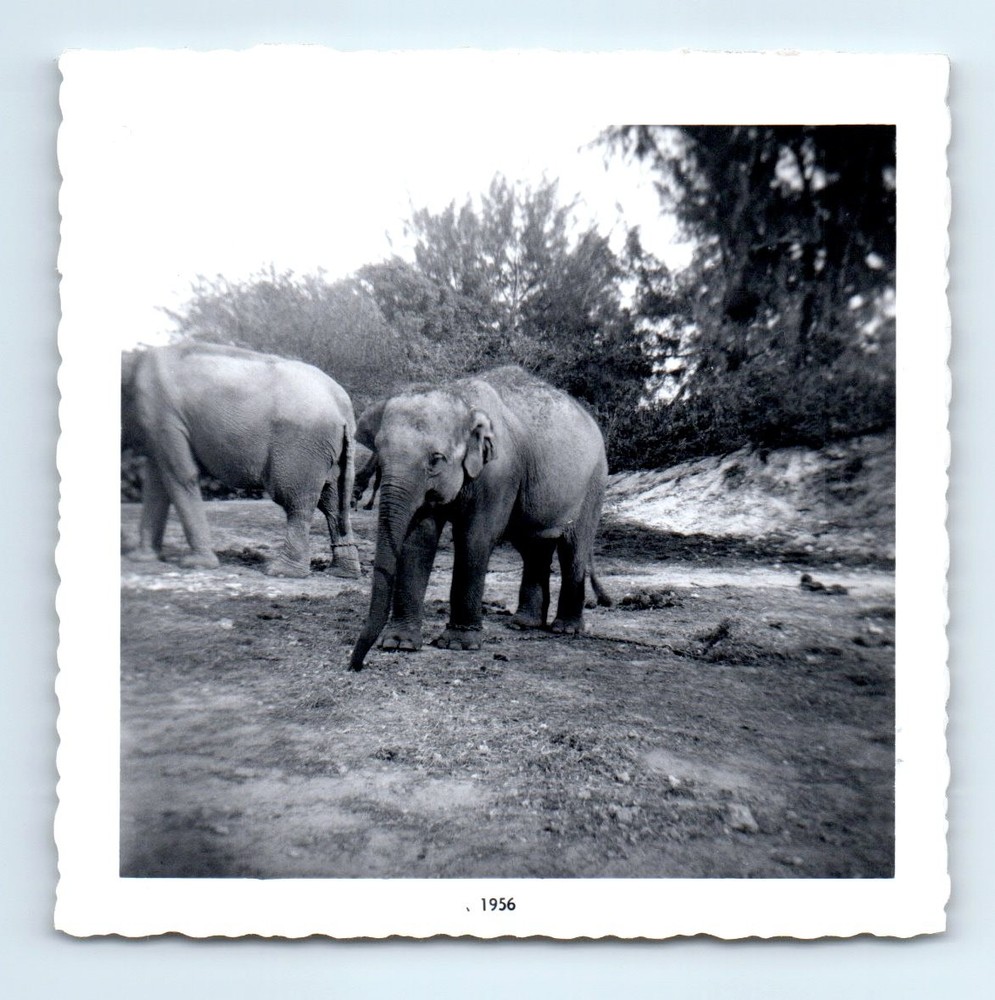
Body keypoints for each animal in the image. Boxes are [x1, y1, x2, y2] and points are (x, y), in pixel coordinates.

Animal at [121, 342, 361, 578]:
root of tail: (344, 409)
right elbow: (156, 481)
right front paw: (143, 558)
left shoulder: (163, 417)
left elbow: (181, 474)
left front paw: (197, 564)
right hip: (331, 450)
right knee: (333, 501)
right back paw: (343, 572)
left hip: (302, 446)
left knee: (295, 500)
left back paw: (282, 571)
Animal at [349, 365, 611, 671]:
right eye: (380, 452)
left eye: (435, 459)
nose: (356, 665)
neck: (460, 398)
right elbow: (419, 539)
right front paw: (399, 644)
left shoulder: (499, 473)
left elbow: (474, 537)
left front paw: (458, 645)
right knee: (534, 549)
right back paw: (523, 624)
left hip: (593, 485)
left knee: (573, 549)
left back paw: (565, 629)